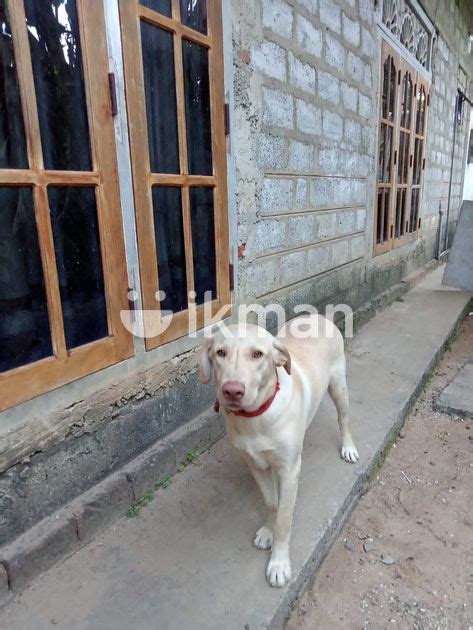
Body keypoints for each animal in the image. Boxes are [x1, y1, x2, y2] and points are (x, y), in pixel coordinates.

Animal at [198, 318, 358, 592]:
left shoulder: (289, 471)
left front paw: (279, 564)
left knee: (343, 418)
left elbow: (285, 519)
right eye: (220, 352)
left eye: (257, 354)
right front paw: (267, 532)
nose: (232, 391)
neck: (256, 417)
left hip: (339, 386)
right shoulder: (256, 466)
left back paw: (348, 446)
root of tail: (316, 317)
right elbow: (272, 503)